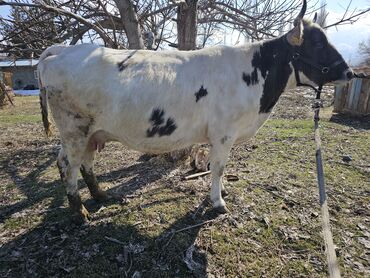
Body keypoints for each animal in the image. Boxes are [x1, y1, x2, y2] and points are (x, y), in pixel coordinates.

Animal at [36, 0, 352, 223]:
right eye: (317, 43)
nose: (349, 72)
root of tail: (62, 50)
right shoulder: (224, 134)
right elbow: (219, 167)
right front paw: (218, 202)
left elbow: (218, 167)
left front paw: (221, 192)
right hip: (74, 129)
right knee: (69, 165)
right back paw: (80, 213)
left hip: (91, 132)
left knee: (82, 163)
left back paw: (102, 196)